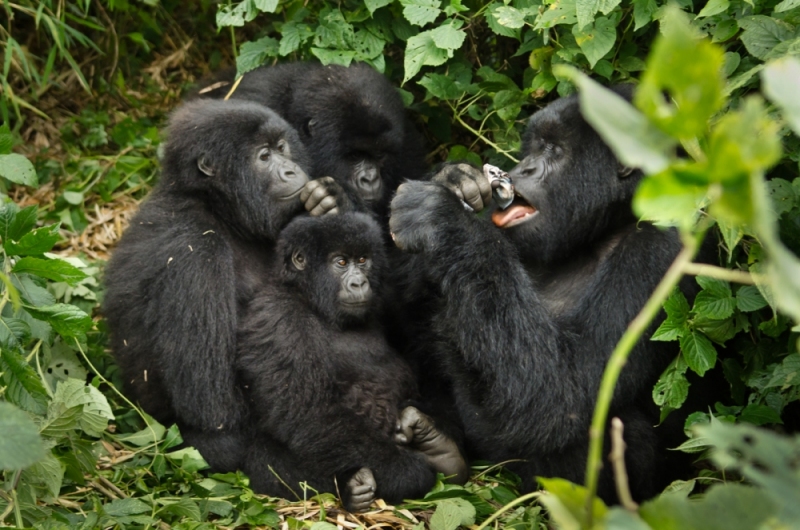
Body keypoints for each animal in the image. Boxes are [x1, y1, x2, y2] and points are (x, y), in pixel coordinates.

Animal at [234, 212, 468, 510]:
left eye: (363, 260)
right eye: (341, 262)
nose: (359, 283)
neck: (310, 298)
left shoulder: (387, 297)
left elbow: (428, 361)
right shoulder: (277, 317)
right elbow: (311, 413)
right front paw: (407, 473)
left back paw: (438, 445)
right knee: (266, 458)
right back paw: (353, 486)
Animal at [390, 86, 704, 500]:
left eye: (554, 150)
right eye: (532, 148)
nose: (520, 170)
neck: (601, 228)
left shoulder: (664, 252)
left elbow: (566, 393)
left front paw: (445, 219)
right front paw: (455, 179)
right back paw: (436, 442)